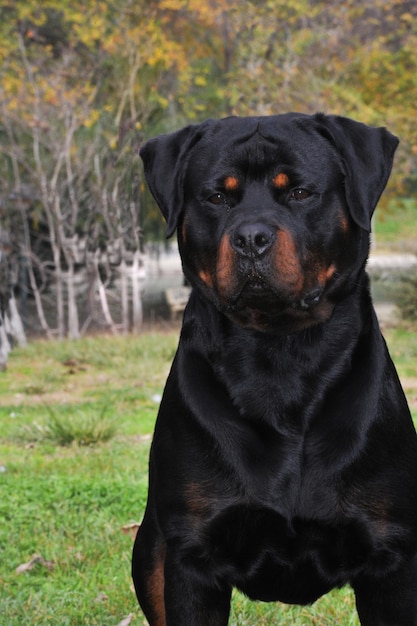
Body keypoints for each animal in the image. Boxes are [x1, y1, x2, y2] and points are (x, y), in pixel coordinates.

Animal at [132, 113, 416, 624]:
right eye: (217, 197)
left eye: (300, 193)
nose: (251, 238)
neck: (280, 355)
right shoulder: (191, 557)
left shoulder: (392, 558)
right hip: (150, 553)